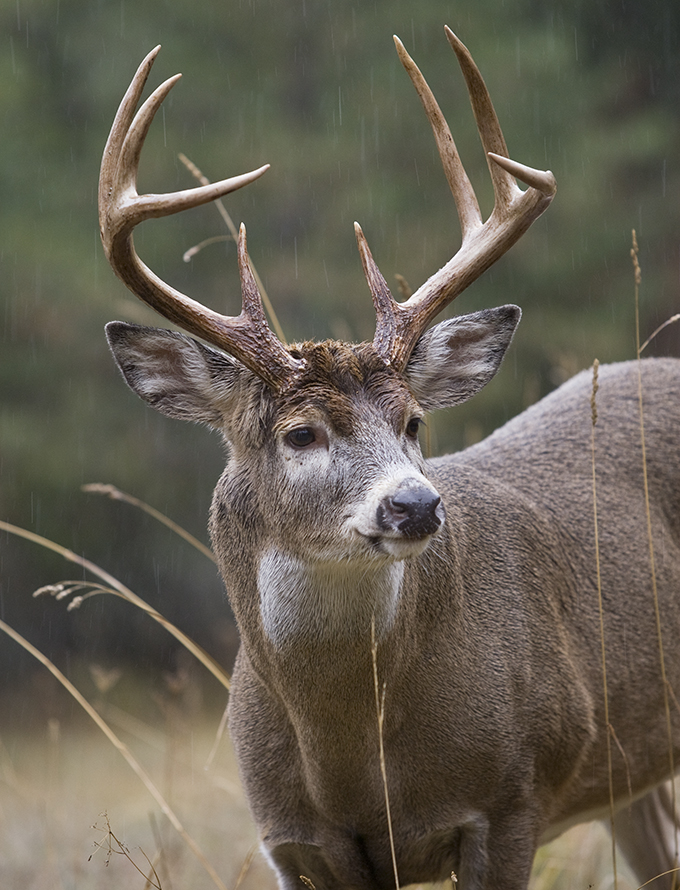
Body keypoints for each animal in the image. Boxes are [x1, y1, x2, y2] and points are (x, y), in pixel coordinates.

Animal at [97, 26, 680, 888]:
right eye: (300, 433)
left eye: (414, 422)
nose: (415, 504)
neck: (351, 757)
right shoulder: (291, 843)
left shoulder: (513, 796)